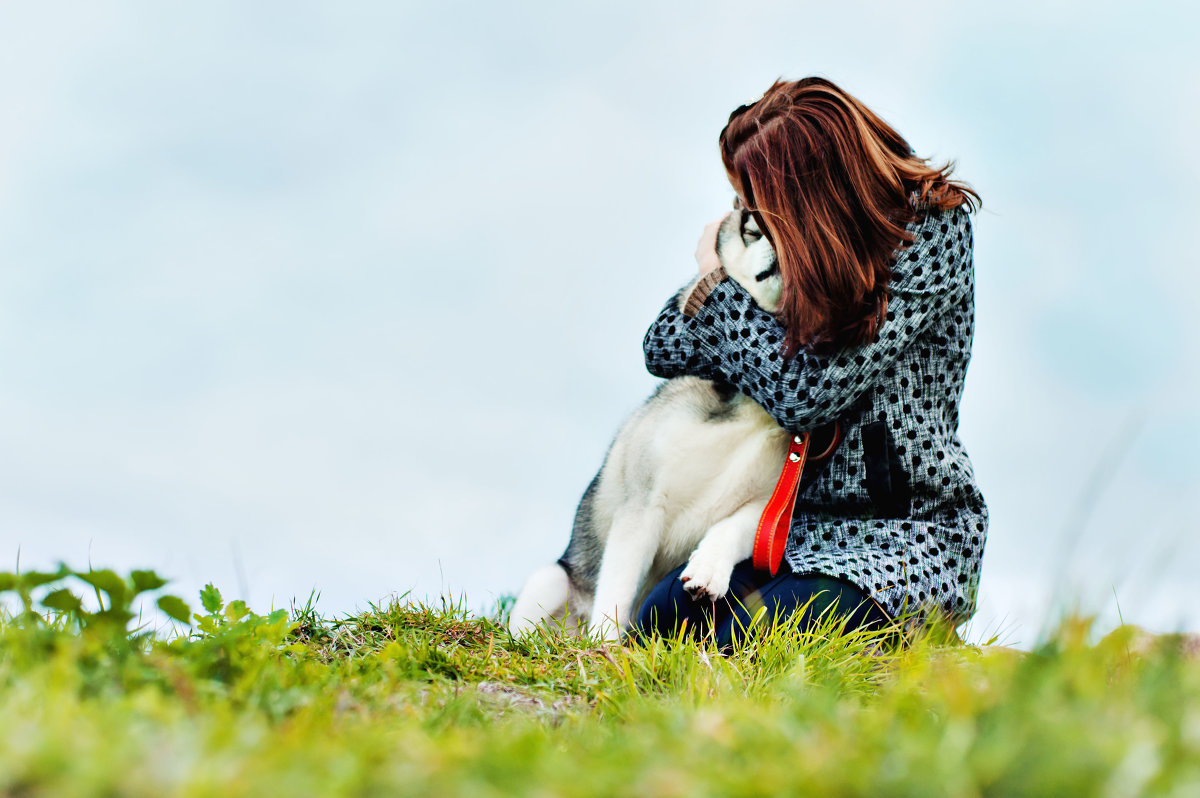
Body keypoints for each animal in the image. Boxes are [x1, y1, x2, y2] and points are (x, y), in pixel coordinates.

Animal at [506, 206, 787, 643]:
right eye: (752, 229)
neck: (747, 395)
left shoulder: (768, 510)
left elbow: (730, 529)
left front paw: (709, 568)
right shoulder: (642, 505)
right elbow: (617, 590)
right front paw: (605, 645)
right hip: (549, 579)